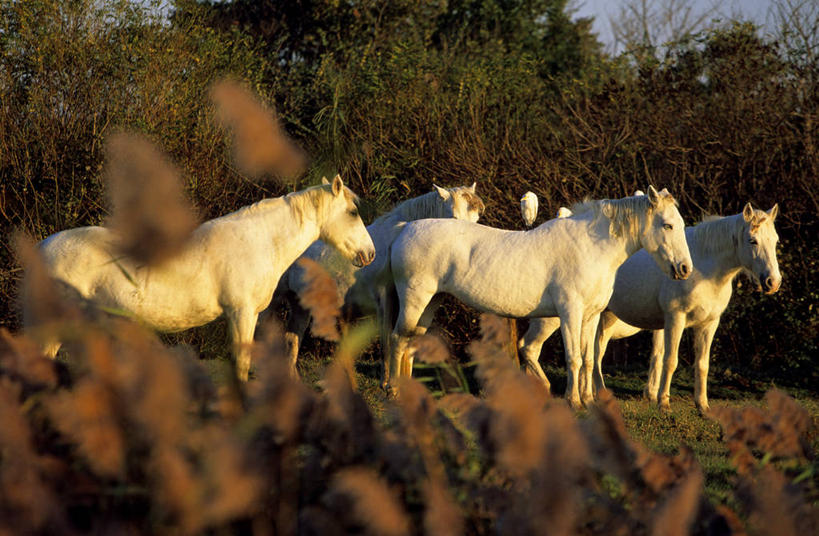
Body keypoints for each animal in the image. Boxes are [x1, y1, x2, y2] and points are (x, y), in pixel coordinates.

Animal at [28, 176, 374, 382]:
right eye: (353, 213)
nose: (369, 254)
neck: (257, 241)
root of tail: (42, 247)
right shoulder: (241, 314)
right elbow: (241, 365)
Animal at [278, 182, 484, 370]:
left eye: (476, 220)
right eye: (454, 217)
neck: (397, 237)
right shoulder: (385, 299)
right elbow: (387, 343)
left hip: (299, 305)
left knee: (292, 340)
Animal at [386, 186, 692, 408]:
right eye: (667, 225)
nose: (684, 269)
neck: (591, 247)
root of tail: (403, 229)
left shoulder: (591, 316)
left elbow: (589, 358)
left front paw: (589, 400)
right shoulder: (570, 313)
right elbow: (574, 358)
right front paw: (574, 401)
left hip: (430, 301)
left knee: (411, 340)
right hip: (415, 298)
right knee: (398, 338)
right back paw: (393, 391)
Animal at [524, 201, 784, 410]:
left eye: (775, 241)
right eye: (752, 240)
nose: (773, 282)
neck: (704, 267)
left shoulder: (709, 324)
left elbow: (701, 364)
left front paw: (703, 406)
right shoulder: (675, 318)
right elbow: (670, 360)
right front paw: (664, 403)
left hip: (602, 318)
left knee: (594, 356)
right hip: (554, 318)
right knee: (530, 348)